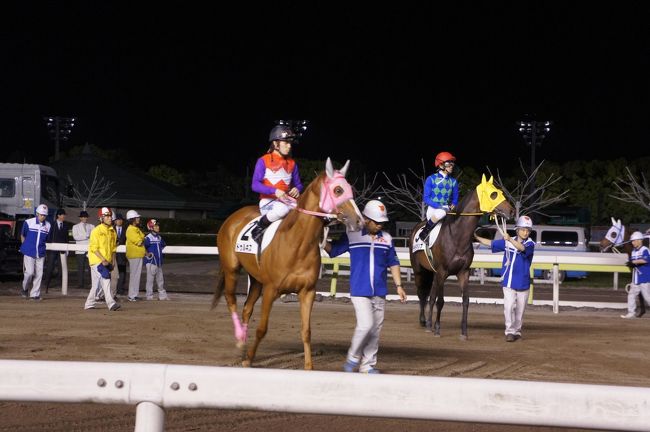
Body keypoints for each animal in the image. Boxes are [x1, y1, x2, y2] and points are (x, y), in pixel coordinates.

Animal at [214, 157, 362, 370]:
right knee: (231, 299)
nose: (359, 221)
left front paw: (309, 366)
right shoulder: (271, 290)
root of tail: (233, 217)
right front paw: (249, 358)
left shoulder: (307, 292)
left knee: (247, 309)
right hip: (231, 269)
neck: (297, 244)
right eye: (338, 190)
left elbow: (306, 331)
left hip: (256, 279)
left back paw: (243, 343)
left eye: (351, 189)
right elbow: (262, 328)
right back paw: (240, 343)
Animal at [410, 174, 512, 340]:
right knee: (422, 294)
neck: (457, 236)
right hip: (419, 270)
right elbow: (441, 301)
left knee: (430, 296)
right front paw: (438, 329)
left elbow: (465, 301)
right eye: (493, 194)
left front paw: (464, 332)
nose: (511, 210)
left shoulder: (463, 272)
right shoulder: (443, 272)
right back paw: (424, 321)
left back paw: (429, 324)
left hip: (433, 273)